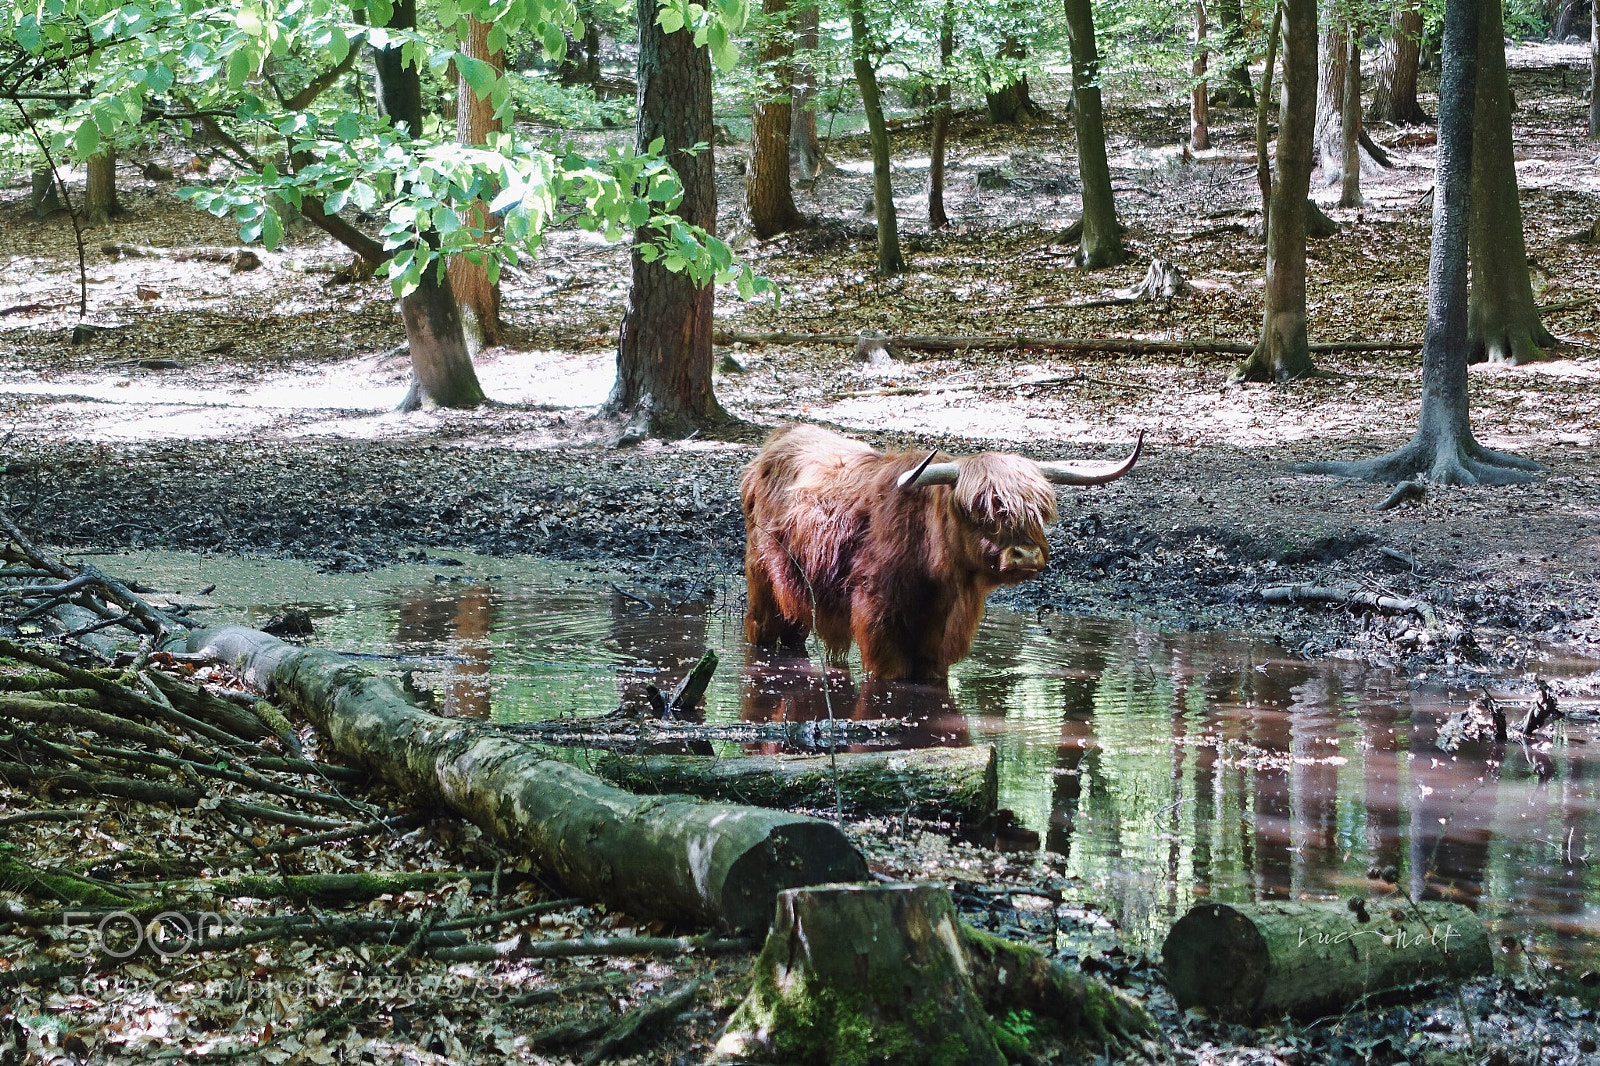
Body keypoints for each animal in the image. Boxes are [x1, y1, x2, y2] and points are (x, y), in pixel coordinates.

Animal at [740, 425, 1143, 681]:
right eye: (981, 510)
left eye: (1038, 512)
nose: (1025, 555)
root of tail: (777, 441)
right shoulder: (878, 619)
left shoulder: (941, 642)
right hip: (761, 575)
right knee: (762, 628)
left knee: (794, 631)